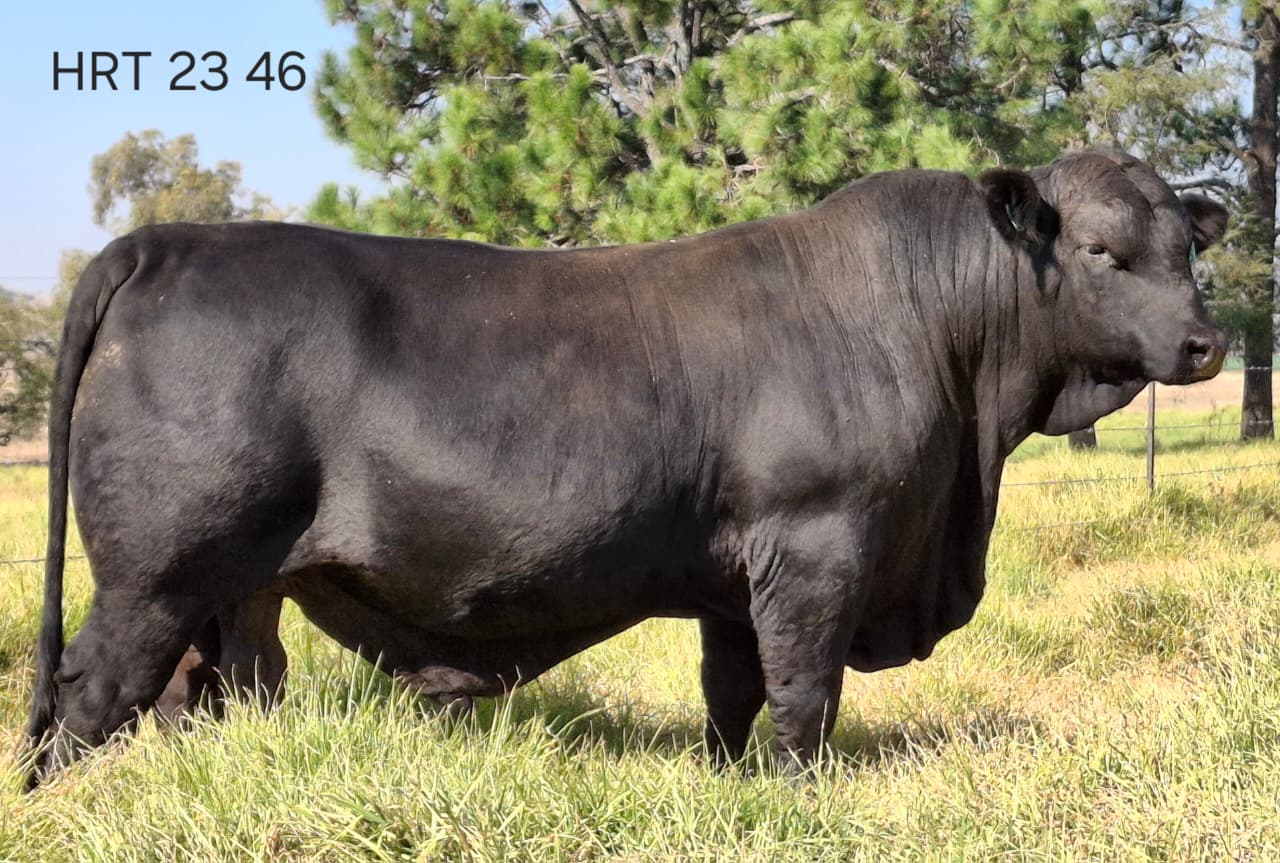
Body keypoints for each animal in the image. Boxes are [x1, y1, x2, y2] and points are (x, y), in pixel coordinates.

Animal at [25, 149, 1227, 787]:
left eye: (1188, 248)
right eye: (1104, 252)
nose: (1205, 344)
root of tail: (167, 239)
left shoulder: (737, 579)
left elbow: (732, 697)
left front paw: (736, 789)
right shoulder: (819, 546)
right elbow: (804, 694)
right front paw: (801, 796)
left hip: (234, 590)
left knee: (208, 690)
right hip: (154, 573)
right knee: (90, 696)